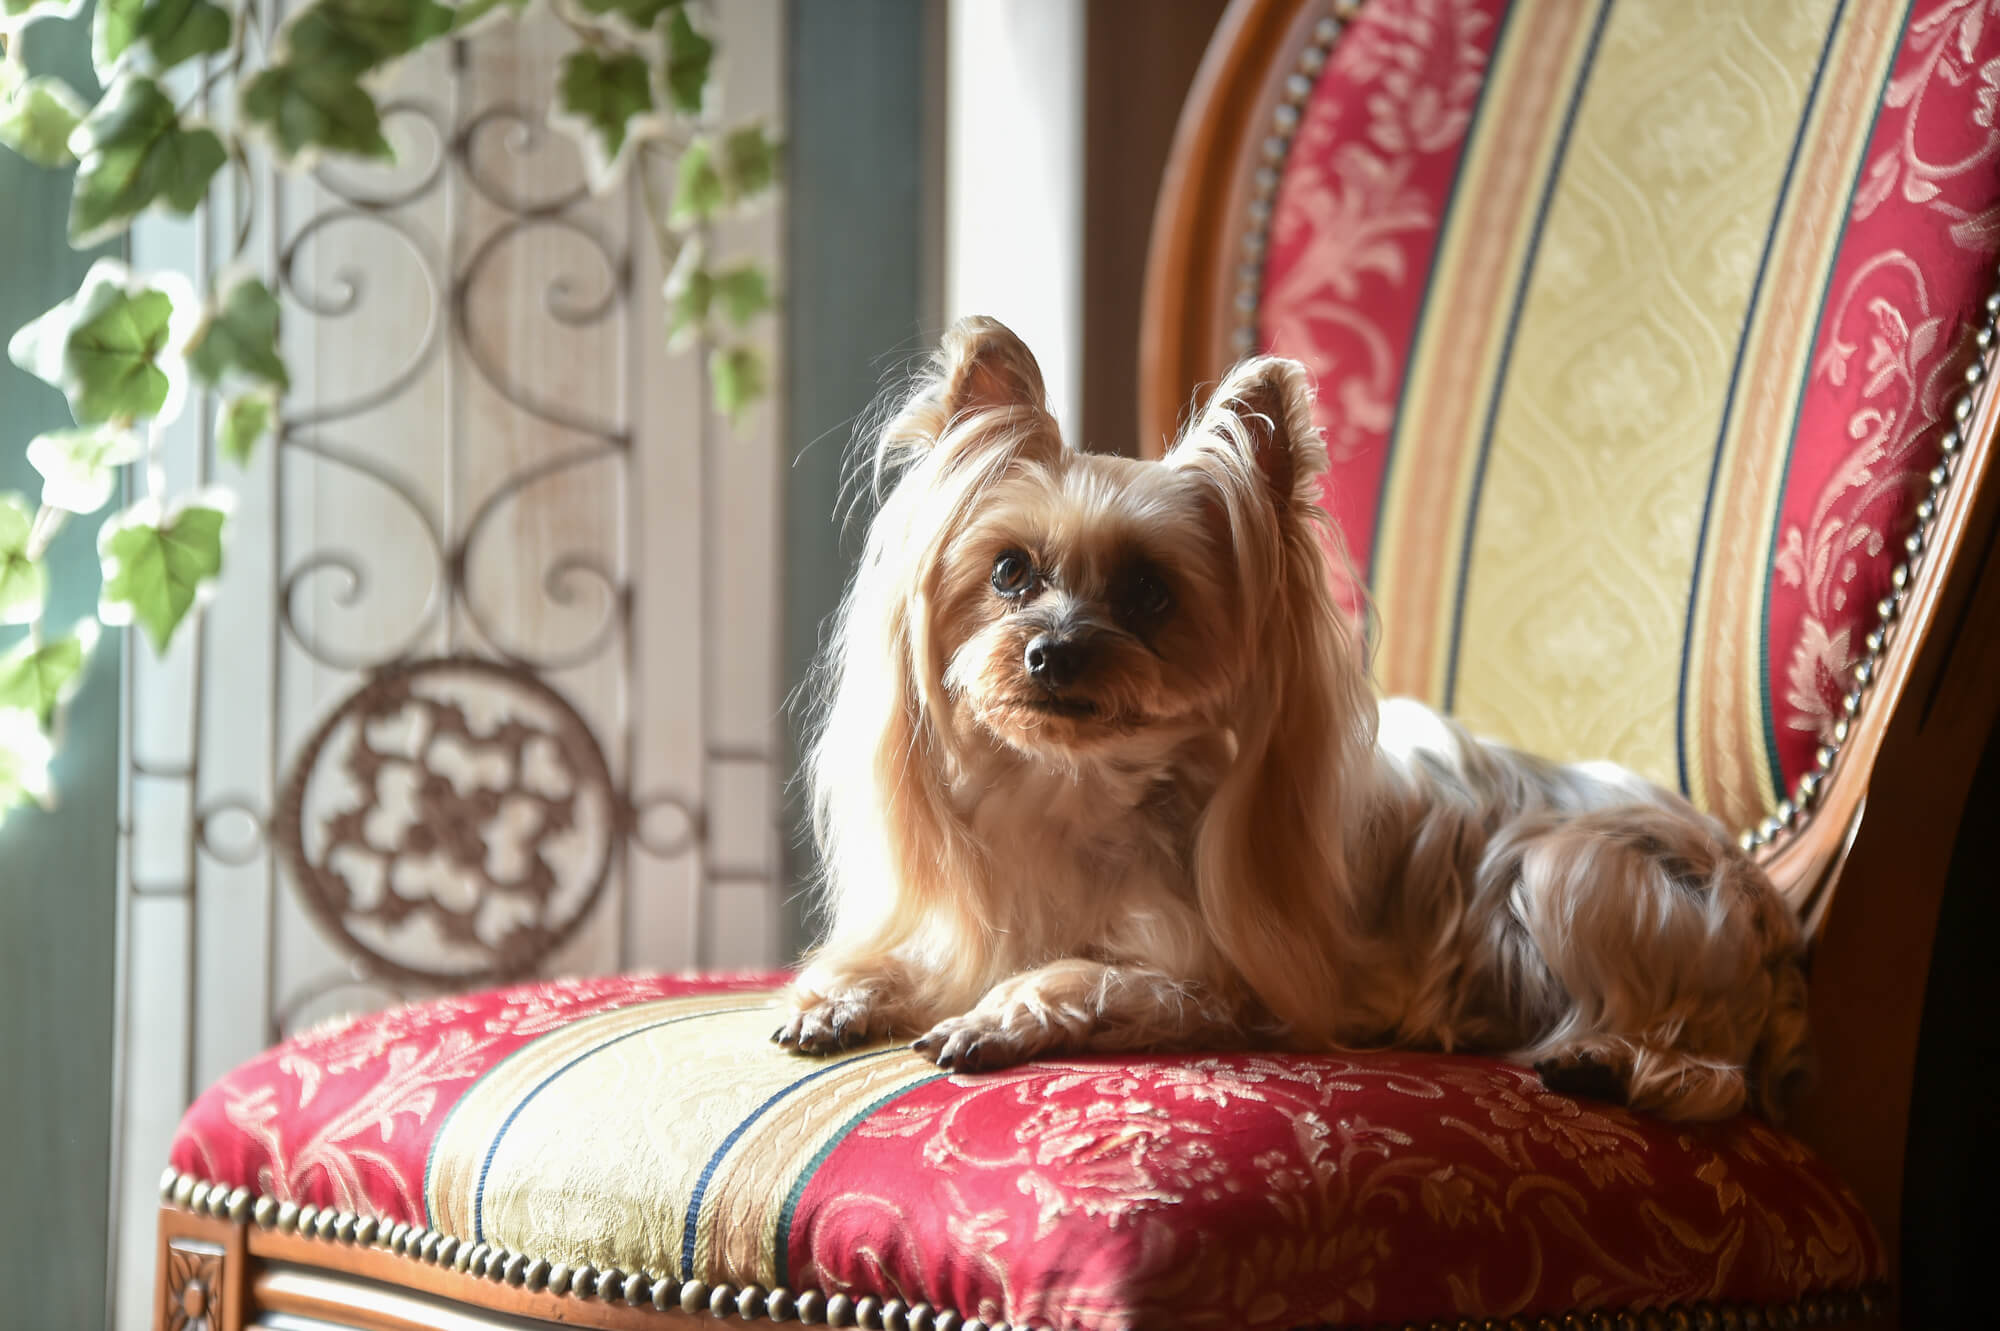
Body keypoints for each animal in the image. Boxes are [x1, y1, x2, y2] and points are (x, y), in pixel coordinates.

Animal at [776, 315, 1816, 1111]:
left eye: (1150, 592)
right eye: (1008, 571)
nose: (1054, 651)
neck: (1080, 790)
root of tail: (1769, 914)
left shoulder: (1221, 982)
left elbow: (1087, 975)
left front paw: (995, 1013)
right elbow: (919, 957)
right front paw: (839, 993)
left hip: (1579, 870)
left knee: (1708, 1069)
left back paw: (1603, 1056)